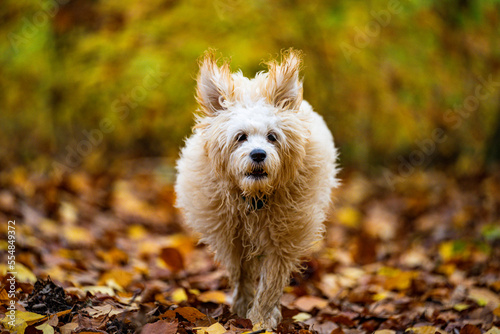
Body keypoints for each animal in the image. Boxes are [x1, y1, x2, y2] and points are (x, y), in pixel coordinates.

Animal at [176, 49, 340, 328]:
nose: (258, 154)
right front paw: (242, 310)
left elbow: (271, 283)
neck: (255, 198)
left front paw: (261, 321)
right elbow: (242, 276)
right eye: (240, 136)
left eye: (272, 136)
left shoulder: (282, 240)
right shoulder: (233, 240)